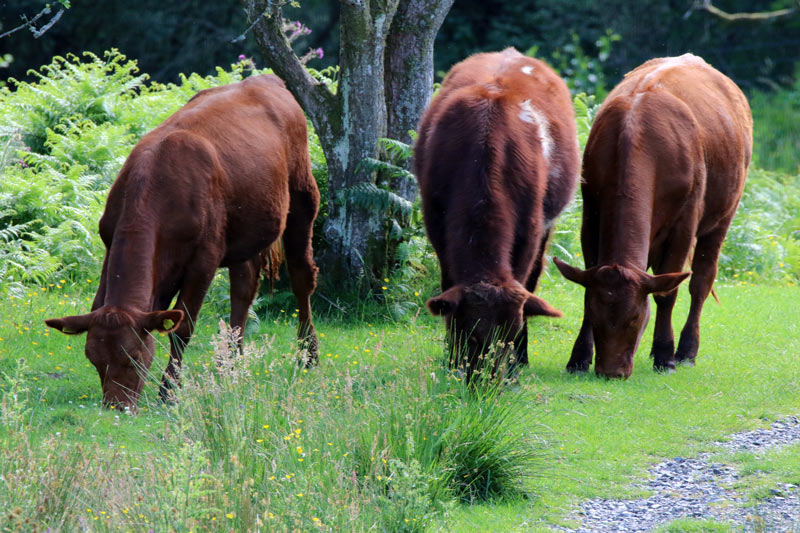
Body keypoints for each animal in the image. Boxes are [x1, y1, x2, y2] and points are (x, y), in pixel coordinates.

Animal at [44, 74, 318, 408]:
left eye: (134, 357)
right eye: (93, 359)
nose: (117, 408)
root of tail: (265, 79)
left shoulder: (205, 259)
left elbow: (182, 327)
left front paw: (168, 391)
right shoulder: (116, 245)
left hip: (303, 197)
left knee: (302, 278)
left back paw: (308, 356)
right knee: (244, 287)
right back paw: (231, 364)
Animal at [416, 46, 580, 378]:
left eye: (511, 333)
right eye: (468, 333)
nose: (487, 382)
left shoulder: (530, 231)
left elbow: (524, 282)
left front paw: (517, 362)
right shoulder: (437, 226)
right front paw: (451, 361)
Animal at [552, 54, 752, 376]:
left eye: (634, 317)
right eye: (596, 314)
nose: (611, 372)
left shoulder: (684, 224)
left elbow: (666, 293)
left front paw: (664, 355)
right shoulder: (591, 216)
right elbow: (588, 282)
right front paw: (580, 357)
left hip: (722, 217)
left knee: (700, 281)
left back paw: (686, 350)